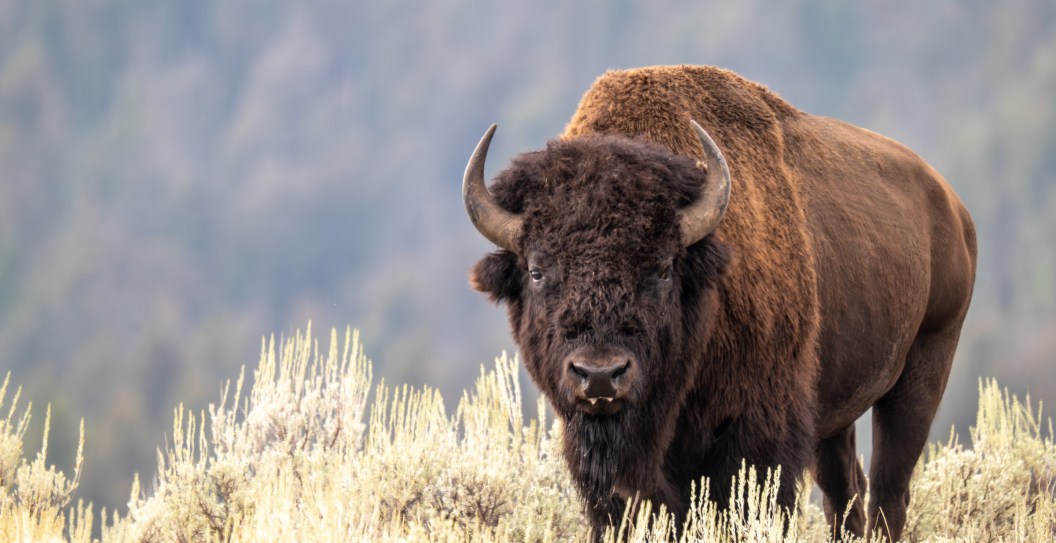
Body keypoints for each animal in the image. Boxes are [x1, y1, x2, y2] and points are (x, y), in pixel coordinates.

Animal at [463, 65, 976, 541]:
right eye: (536, 270)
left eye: (663, 269)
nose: (601, 375)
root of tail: (951, 206)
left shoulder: (759, 436)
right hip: (836, 411)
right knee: (844, 492)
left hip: (923, 369)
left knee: (890, 492)